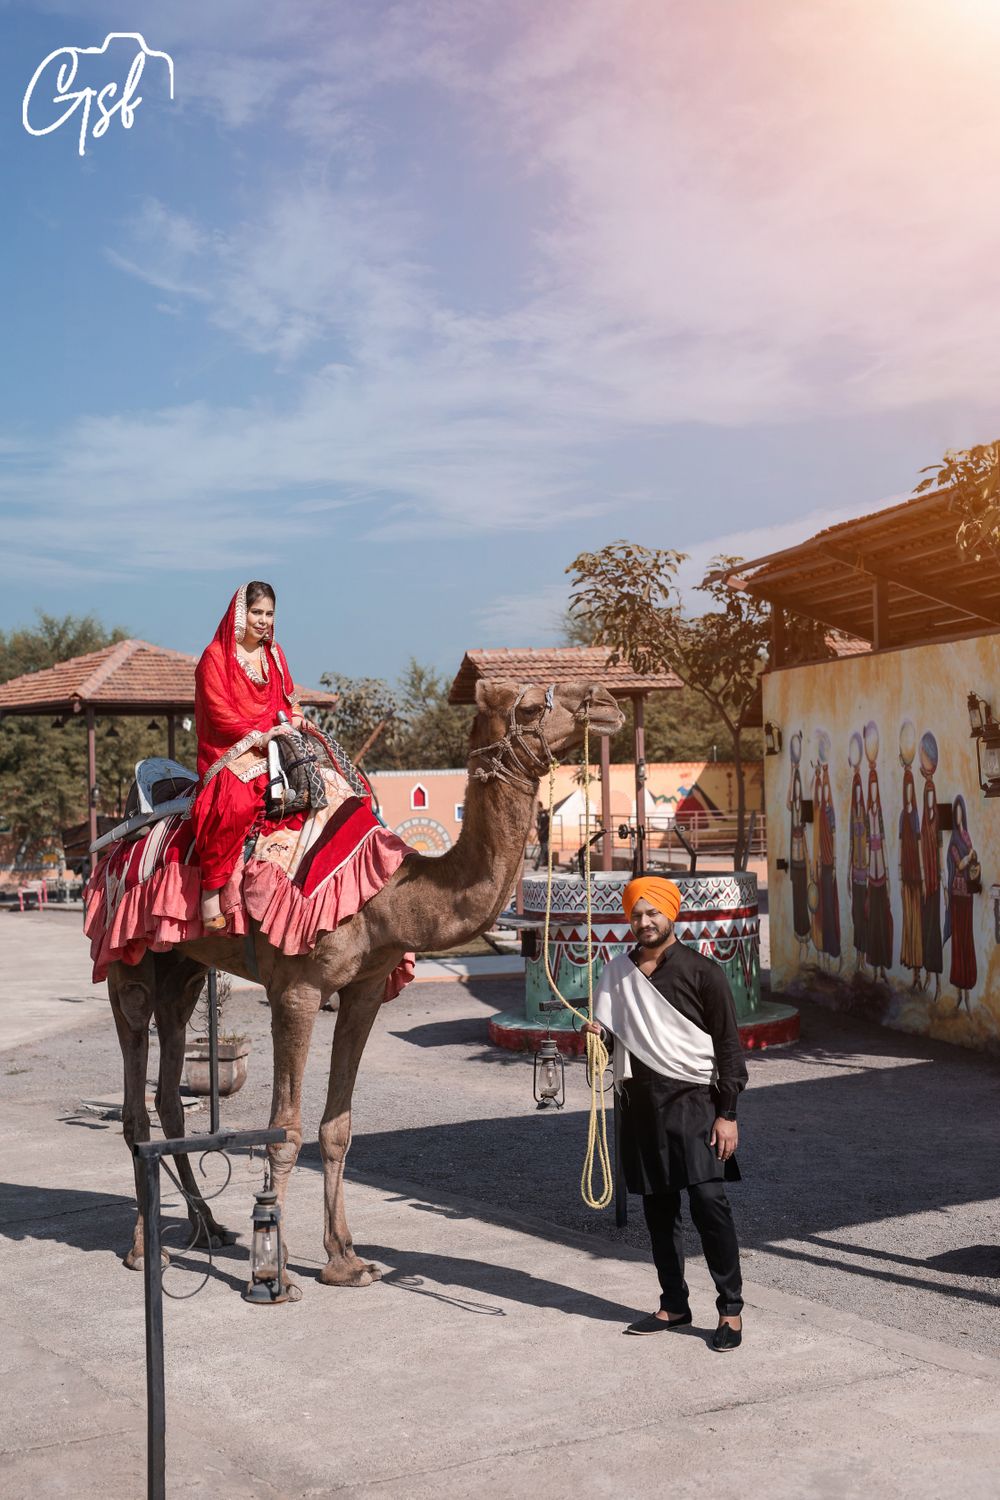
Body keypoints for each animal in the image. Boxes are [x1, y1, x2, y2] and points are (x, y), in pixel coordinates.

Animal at [111, 678, 626, 1278]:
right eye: (526, 704)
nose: (603, 699)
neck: (386, 897)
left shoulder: (365, 991)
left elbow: (337, 1128)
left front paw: (345, 1260)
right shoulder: (297, 992)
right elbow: (285, 1131)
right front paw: (273, 1274)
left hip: (184, 965)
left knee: (170, 1088)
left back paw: (207, 1228)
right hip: (127, 960)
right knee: (135, 1096)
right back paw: (144, 1249)